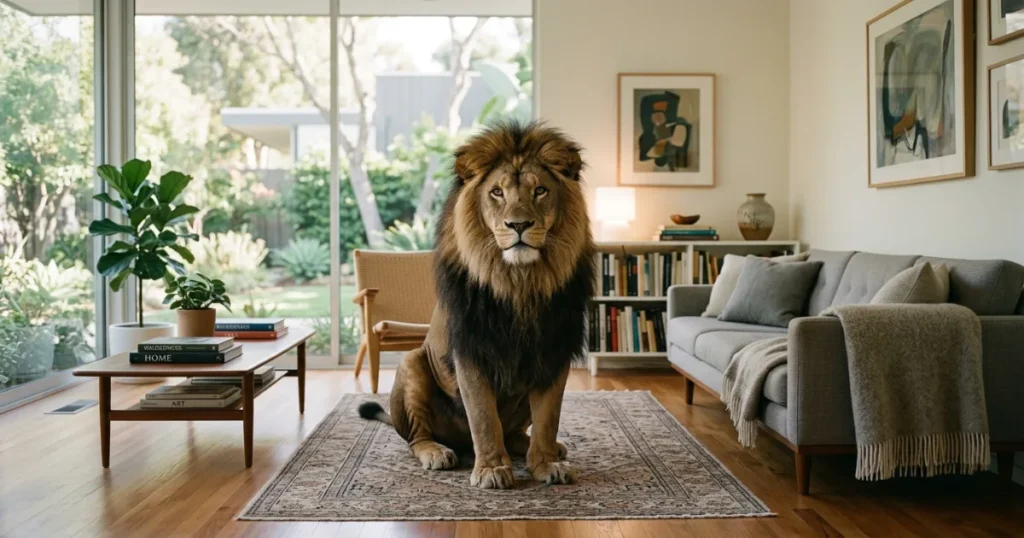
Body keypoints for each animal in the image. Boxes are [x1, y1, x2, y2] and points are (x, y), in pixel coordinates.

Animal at [358, 120, 595, 489]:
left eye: (540, 190)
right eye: (497, 193)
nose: (519, 225)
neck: (520, 282)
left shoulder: (553, 351)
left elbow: (547, 418)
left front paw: (545, 464)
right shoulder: (471, 351)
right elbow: (484, 418)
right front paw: (492, 470)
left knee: (515, 432)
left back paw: (547, 448)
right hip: (413, 362)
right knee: (417, 437)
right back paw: (437, 452)